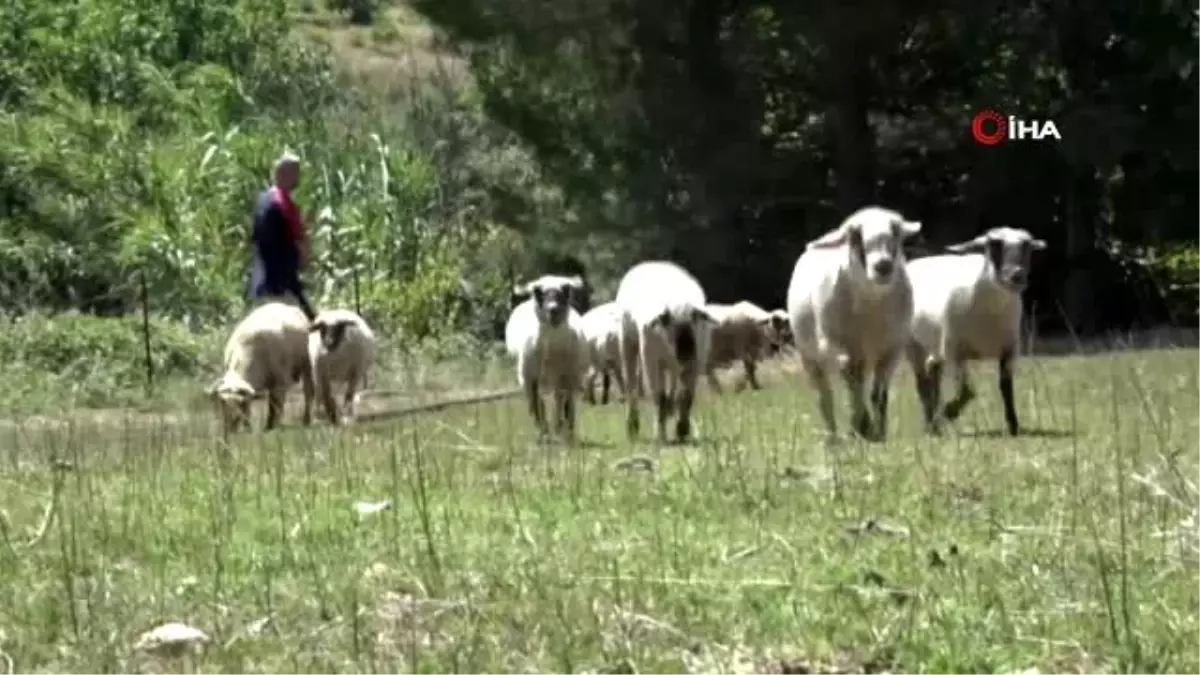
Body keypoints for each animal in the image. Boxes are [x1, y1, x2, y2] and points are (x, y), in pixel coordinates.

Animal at [208, 299, 316, 429]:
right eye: (222, 404)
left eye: (240, 404)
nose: (229, 429)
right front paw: (248, 427)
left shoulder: (279, 383)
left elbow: (275, 407)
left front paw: (271, 427)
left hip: (306, 364)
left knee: (308, 391)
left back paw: (306, 420)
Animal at [501, 273, 590, 441]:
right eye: (538, 292)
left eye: (565, 290)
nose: (553, 310)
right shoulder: (529, 378)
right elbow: (536, 405)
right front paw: (543, 433)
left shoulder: (569, 375)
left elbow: (566, 405)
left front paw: (565, 432)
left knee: (560, 400)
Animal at [619, 258, 710, 441]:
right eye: (667, 321)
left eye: (695, 319)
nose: (687, 352)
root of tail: (652, 262)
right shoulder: (651, 360)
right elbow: (659, 397)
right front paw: (660, 434)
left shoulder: (697, 361)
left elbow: (686, 396)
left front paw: (682, 429)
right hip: (627, 342)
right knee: (631, 385)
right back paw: (632, 426)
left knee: (673, 388)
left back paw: (671, 411)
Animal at [787, 201, 916, 439]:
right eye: (855, 236)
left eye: (896, 232)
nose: (883, 266)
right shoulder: (837, 346)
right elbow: (851, 381)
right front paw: (863, 426)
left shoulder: (892, 349)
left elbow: (878, 394)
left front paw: (878, 432)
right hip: (810, 356)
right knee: (825, 397)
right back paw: (834, 436)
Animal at [902, 225, 1046, 437]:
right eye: (993, 245)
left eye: (1027, 246)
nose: (1017, 275)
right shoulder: (955, 352)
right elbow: (967, 391)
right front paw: (949, 412)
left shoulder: (1010, 350)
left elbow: (1006, 387)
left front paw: (1013, 425)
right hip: (914, 344)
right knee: (922, 383)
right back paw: (932, 425)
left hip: (937, 344)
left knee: (932, 369)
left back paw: (935, 422)